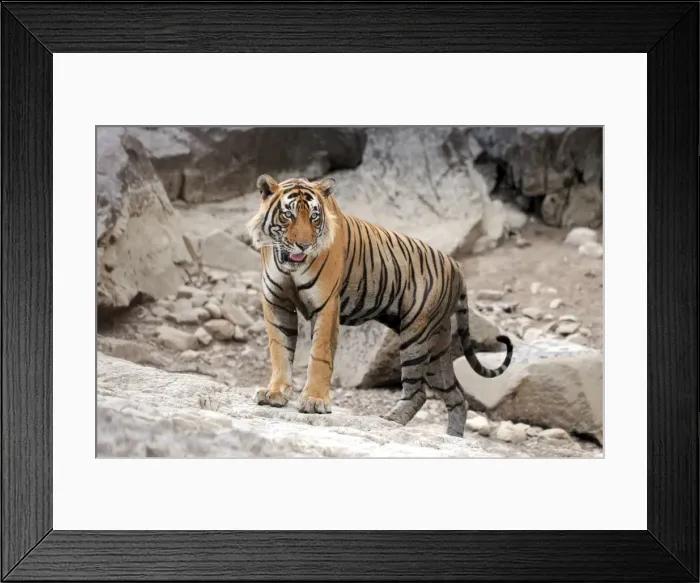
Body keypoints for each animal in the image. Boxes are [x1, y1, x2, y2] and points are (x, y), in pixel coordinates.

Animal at [245, 173, 513, 437]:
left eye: (314, 217)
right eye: (288, 215)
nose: (304, 245)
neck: (288, 266)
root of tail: (455, 264)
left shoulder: (326, 305)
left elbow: (319, 355)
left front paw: (314, 401)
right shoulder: (276, 302)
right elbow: (279, 350)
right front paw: (275, 393)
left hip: (416, 335)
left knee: (418, 393)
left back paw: (390, 421)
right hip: (439, 345)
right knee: (456, 396)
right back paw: (452, 437)